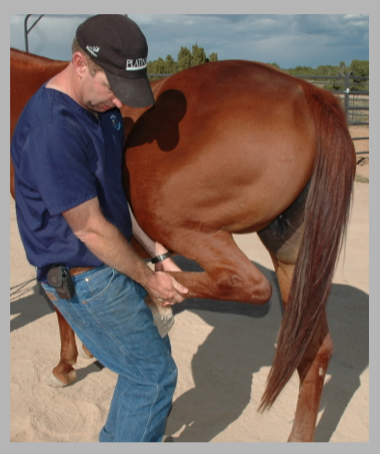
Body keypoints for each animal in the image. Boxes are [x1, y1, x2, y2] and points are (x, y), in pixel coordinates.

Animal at [10, 48, 354, 442]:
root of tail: (306, 91)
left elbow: (59, 300)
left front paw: (65, 365)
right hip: (292, 257)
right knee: (315, 351)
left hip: (171, 218)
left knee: (247, 283)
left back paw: (154, 293)